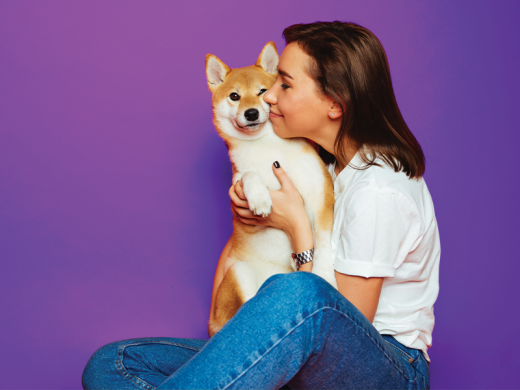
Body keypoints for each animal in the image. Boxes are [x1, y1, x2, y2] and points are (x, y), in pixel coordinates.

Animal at [205, 41, 336, 336]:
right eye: (234, 96)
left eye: (262, 92)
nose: (251, 112)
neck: (268, 148)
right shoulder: (240, 193)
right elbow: (250, 175)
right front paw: (261, 198)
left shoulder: (322, 195)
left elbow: (323, 242)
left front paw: (324, 274)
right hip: (239, 272)